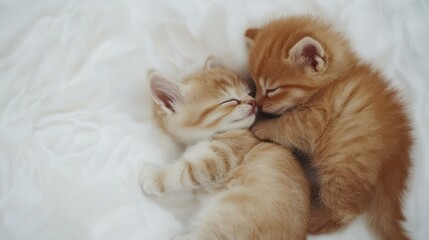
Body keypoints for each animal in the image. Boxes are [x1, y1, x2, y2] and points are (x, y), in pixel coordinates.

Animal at [139, 58, 310, 240]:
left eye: (248, 93)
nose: (253, 101)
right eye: (230, 100)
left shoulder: (223, 154)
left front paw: (154, 177)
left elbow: (187, 170)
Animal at [244, 16, 412, 240]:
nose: (260, 104)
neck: (330, 84)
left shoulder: (314, 119)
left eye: (272, 89)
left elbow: (288, 126)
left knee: (346, 211)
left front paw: (261, 127)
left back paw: (310, 220)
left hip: (344, 163)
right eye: (255, 84)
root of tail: (396, 160)